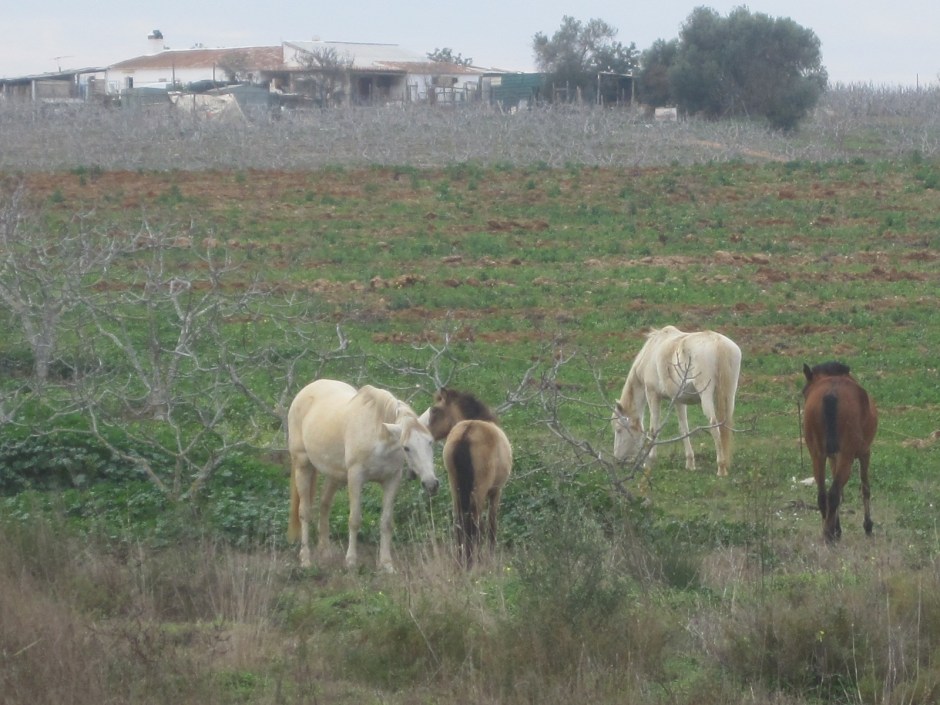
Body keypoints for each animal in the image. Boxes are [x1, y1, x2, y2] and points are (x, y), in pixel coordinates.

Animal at [286, 379, 439, 572]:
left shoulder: (392, 480)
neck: (378, 438)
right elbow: (355, 519)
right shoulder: (355, 478)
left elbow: (386, 522)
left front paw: (386, 564)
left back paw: (325, 551)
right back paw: (305, 559)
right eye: (406, 447)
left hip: (334, 475)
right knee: (304, 512)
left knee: (324, 505)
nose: (431, 484)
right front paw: (351, 561)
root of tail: (305, 391)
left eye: (430, 442)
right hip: (302, 465)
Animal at [422, 388, 512, 567]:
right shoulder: (496, 492)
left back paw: (461, 562)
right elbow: (491, 526)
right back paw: (472, 562)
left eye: (435, 410)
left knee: (460, 524)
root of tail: (467, 433)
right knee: (474, 525)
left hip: (456, 489)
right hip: (478, 491)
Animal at [612, 325, 741, 476]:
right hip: (730, 395)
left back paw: (721, 467)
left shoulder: (652, 394)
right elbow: (683, 428)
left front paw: (649, 462)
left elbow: (654, 428)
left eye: (619, 430)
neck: (651, 353)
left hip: (706, 395)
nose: (618, 460)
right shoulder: (679, 401)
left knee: (714, 426)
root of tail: (717, 342)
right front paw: (690, 463)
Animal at [801, 361, 878, 543]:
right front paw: (868, 526)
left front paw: (838, 527)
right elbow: (865, 488)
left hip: (817, 455)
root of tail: (831, 393)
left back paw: (828, 531)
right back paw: (830, 535)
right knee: (834, 494)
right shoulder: (865, 452)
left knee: (823, 495)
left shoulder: (832, 457)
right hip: (847, 456)